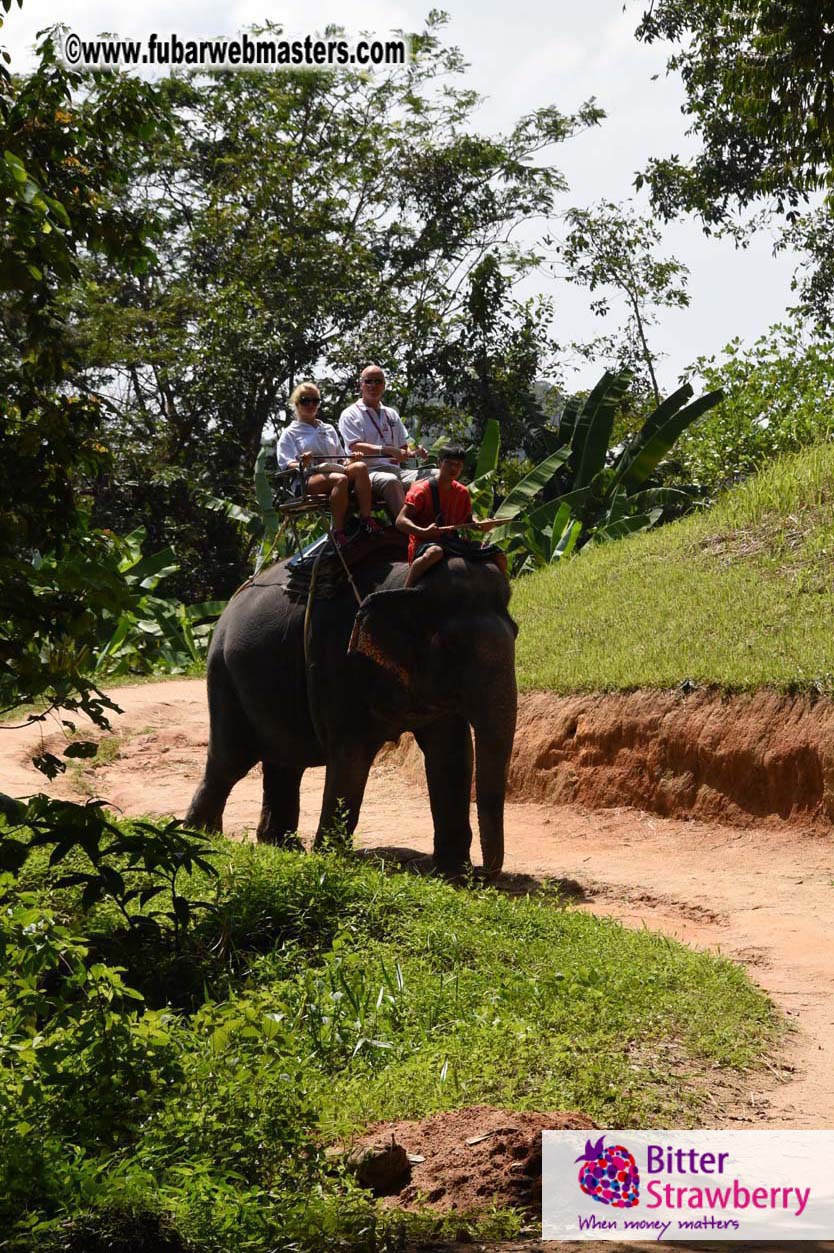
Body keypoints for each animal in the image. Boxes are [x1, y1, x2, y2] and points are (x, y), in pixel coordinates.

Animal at [185, 541, 518, 876]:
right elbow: (350, 755)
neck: (406, 583)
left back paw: (281, 845)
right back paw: (201, 835)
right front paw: (329, 859)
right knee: (230, 761)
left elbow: (452, 753)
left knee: (285, 761)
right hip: (224, 677)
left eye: (515, 633)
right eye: (451, 647)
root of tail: (228, 607)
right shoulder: (336, 665)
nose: (485, 872)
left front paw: (452, 873)